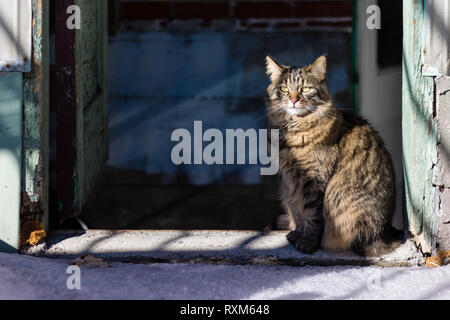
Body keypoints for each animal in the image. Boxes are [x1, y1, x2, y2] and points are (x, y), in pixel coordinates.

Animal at [266, 55, 400, 258]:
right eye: (284, 89)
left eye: (305, 89)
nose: (293, 99)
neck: (293, 132)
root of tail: (386, 232)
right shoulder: (291, 184)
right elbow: (298, 212)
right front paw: (297, 234)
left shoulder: (314, 181)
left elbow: (311, 218)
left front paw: (307, 244)